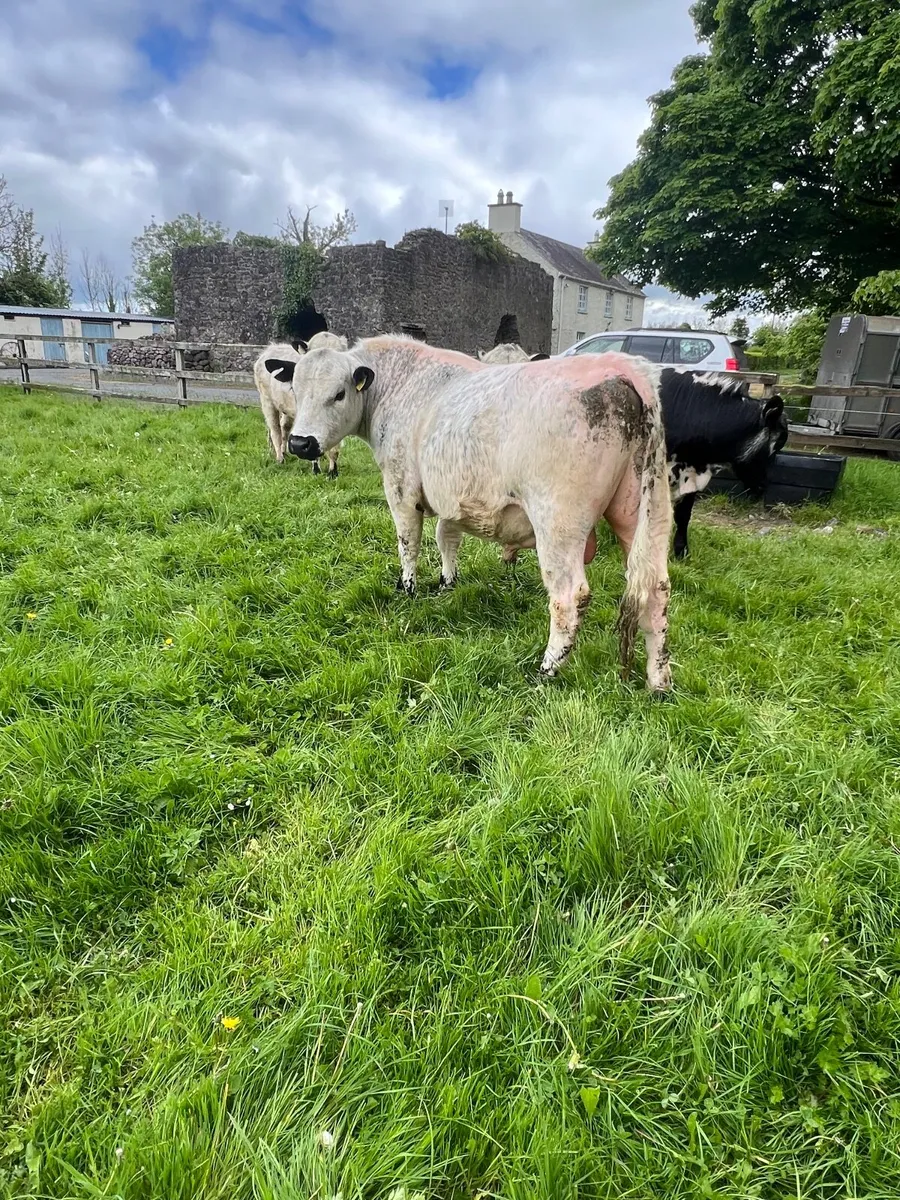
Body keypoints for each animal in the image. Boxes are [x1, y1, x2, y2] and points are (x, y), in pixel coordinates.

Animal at [253, 332, 348, 476]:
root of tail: (270, 348)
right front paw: (316, 470)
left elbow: (334, 448)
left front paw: (333, 472)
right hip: (267, 401)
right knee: (275, 430)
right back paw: (279, 459)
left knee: (284, 427)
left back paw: (282, 453)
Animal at [261, 336, 674, 690]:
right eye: (295, 389)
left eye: (339, 393)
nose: (300, 443)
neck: (401, 386)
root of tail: (621, 367)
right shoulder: (450, 496)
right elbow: (447, 536)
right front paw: (447, 582)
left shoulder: (401, 487)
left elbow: (408, 542)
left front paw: (408, 587)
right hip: (642, 514)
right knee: (656, 589)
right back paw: (659, 683)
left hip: (558, 523)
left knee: (569, 596)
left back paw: (547, 669)